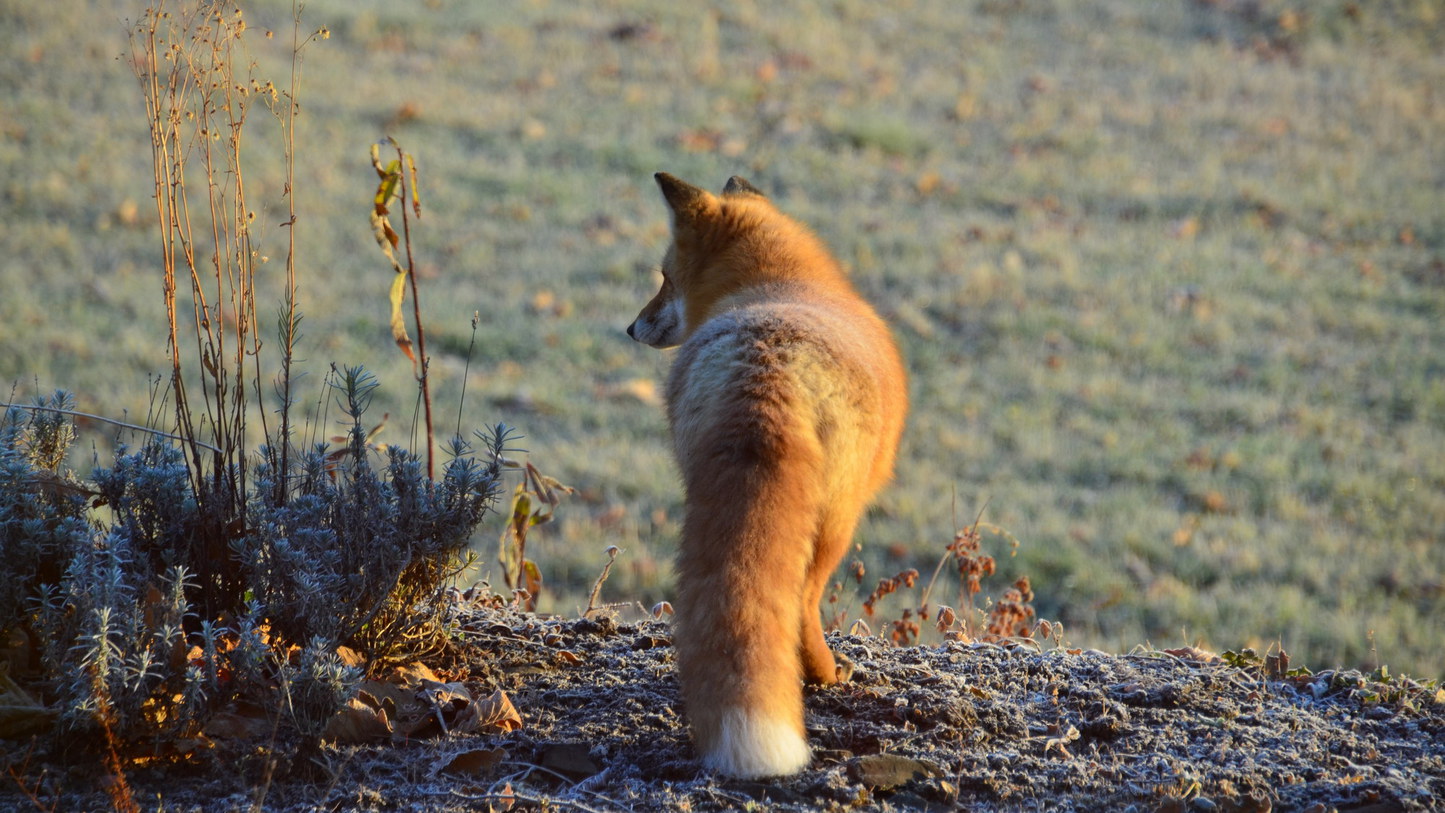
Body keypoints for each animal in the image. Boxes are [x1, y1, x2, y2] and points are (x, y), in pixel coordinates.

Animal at [630, 174, 907, 779]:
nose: (631, 328)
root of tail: (766, 372)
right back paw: (824, 674)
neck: (776, 281)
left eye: (663, 278)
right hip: (835, 525)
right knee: (802, 603)